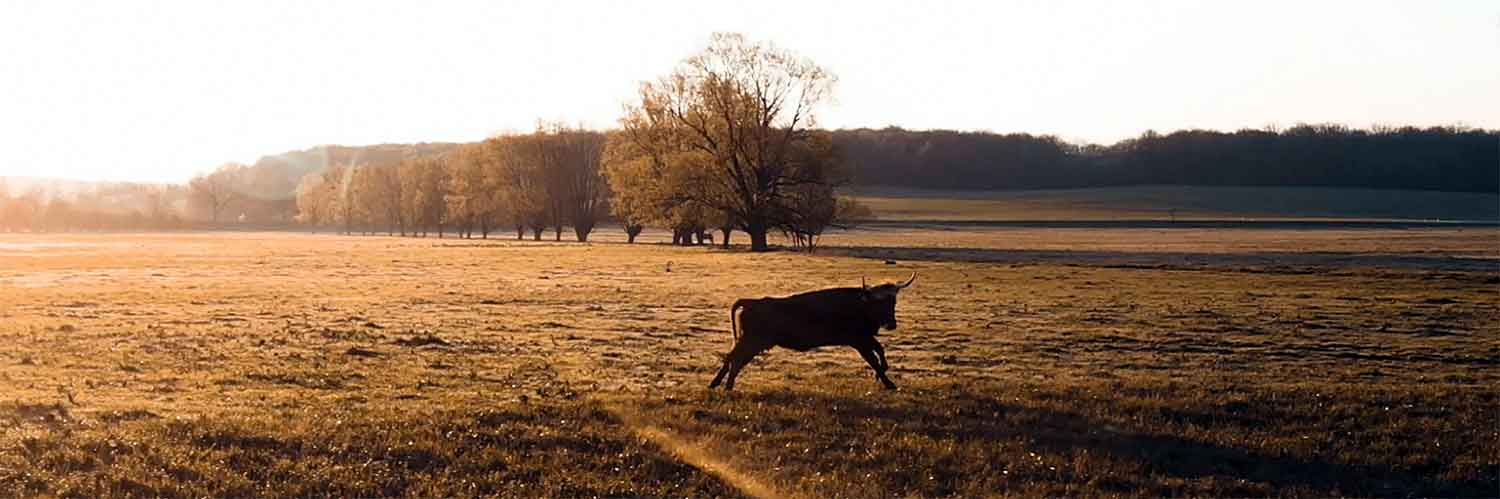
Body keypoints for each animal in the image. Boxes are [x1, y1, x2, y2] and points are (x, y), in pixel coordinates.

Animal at [711, 272, 918, 389]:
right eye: (878, 302)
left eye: (893, 302)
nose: (891, 324)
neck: (860, 304)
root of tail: (752, 302)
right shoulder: (859, 341)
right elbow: (874, 360)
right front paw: (889, 383)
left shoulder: (865, 338)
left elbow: (880, 352)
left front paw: (881, 375)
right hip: (752, 341)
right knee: (734, 359)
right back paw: (726, 385)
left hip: (752, 342)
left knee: (733, 358)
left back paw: (718, 384)